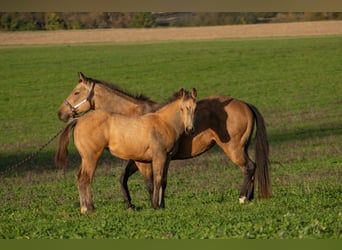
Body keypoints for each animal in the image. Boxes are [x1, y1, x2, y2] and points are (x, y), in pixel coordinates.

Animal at [57, 73, 272, 209]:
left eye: (76, 92)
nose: (61, 113)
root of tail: (244, 104)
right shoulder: (141, 158)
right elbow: (126, 178)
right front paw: (132, 205)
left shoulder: (143, 161)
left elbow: (150, 182)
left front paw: (152, 205)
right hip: (241, 148)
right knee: (252, 167)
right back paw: (250, 197)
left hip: (234, 149)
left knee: (248, 168)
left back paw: (243, 198)